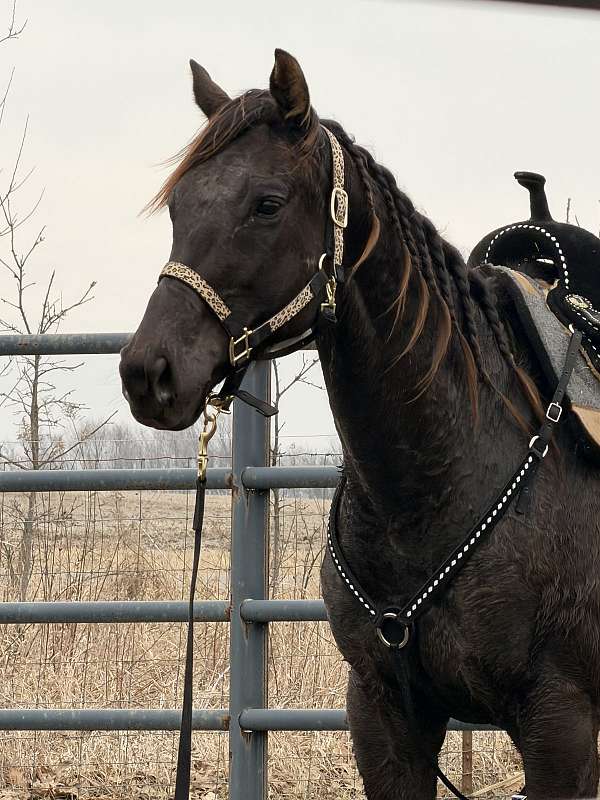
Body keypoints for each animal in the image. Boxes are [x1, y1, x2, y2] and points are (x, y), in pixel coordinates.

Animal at [119, 50, 600, 799]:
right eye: (179, 206)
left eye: (267, 203)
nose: (149, 372)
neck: (438, 484)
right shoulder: (383, 716)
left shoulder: (562, 728)